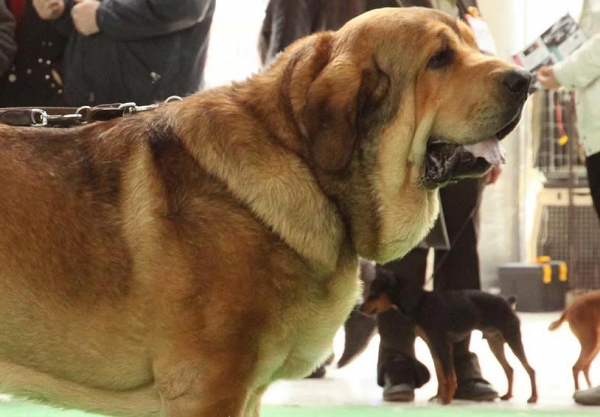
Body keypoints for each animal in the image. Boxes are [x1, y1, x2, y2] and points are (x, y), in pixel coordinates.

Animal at [360, 268, 540, 404]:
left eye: (373, 293)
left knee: (530, 369)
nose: (359, 308)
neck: (420, 301)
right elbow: (440, 374)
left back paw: (533, 398)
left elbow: (449, 375)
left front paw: (446, 400)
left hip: (513, 338)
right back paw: (507, 395)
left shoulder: (443, 345)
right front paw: (439, 397)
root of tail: (508, 302)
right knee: (510, 369)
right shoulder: (434, 345)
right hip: (495, 343)